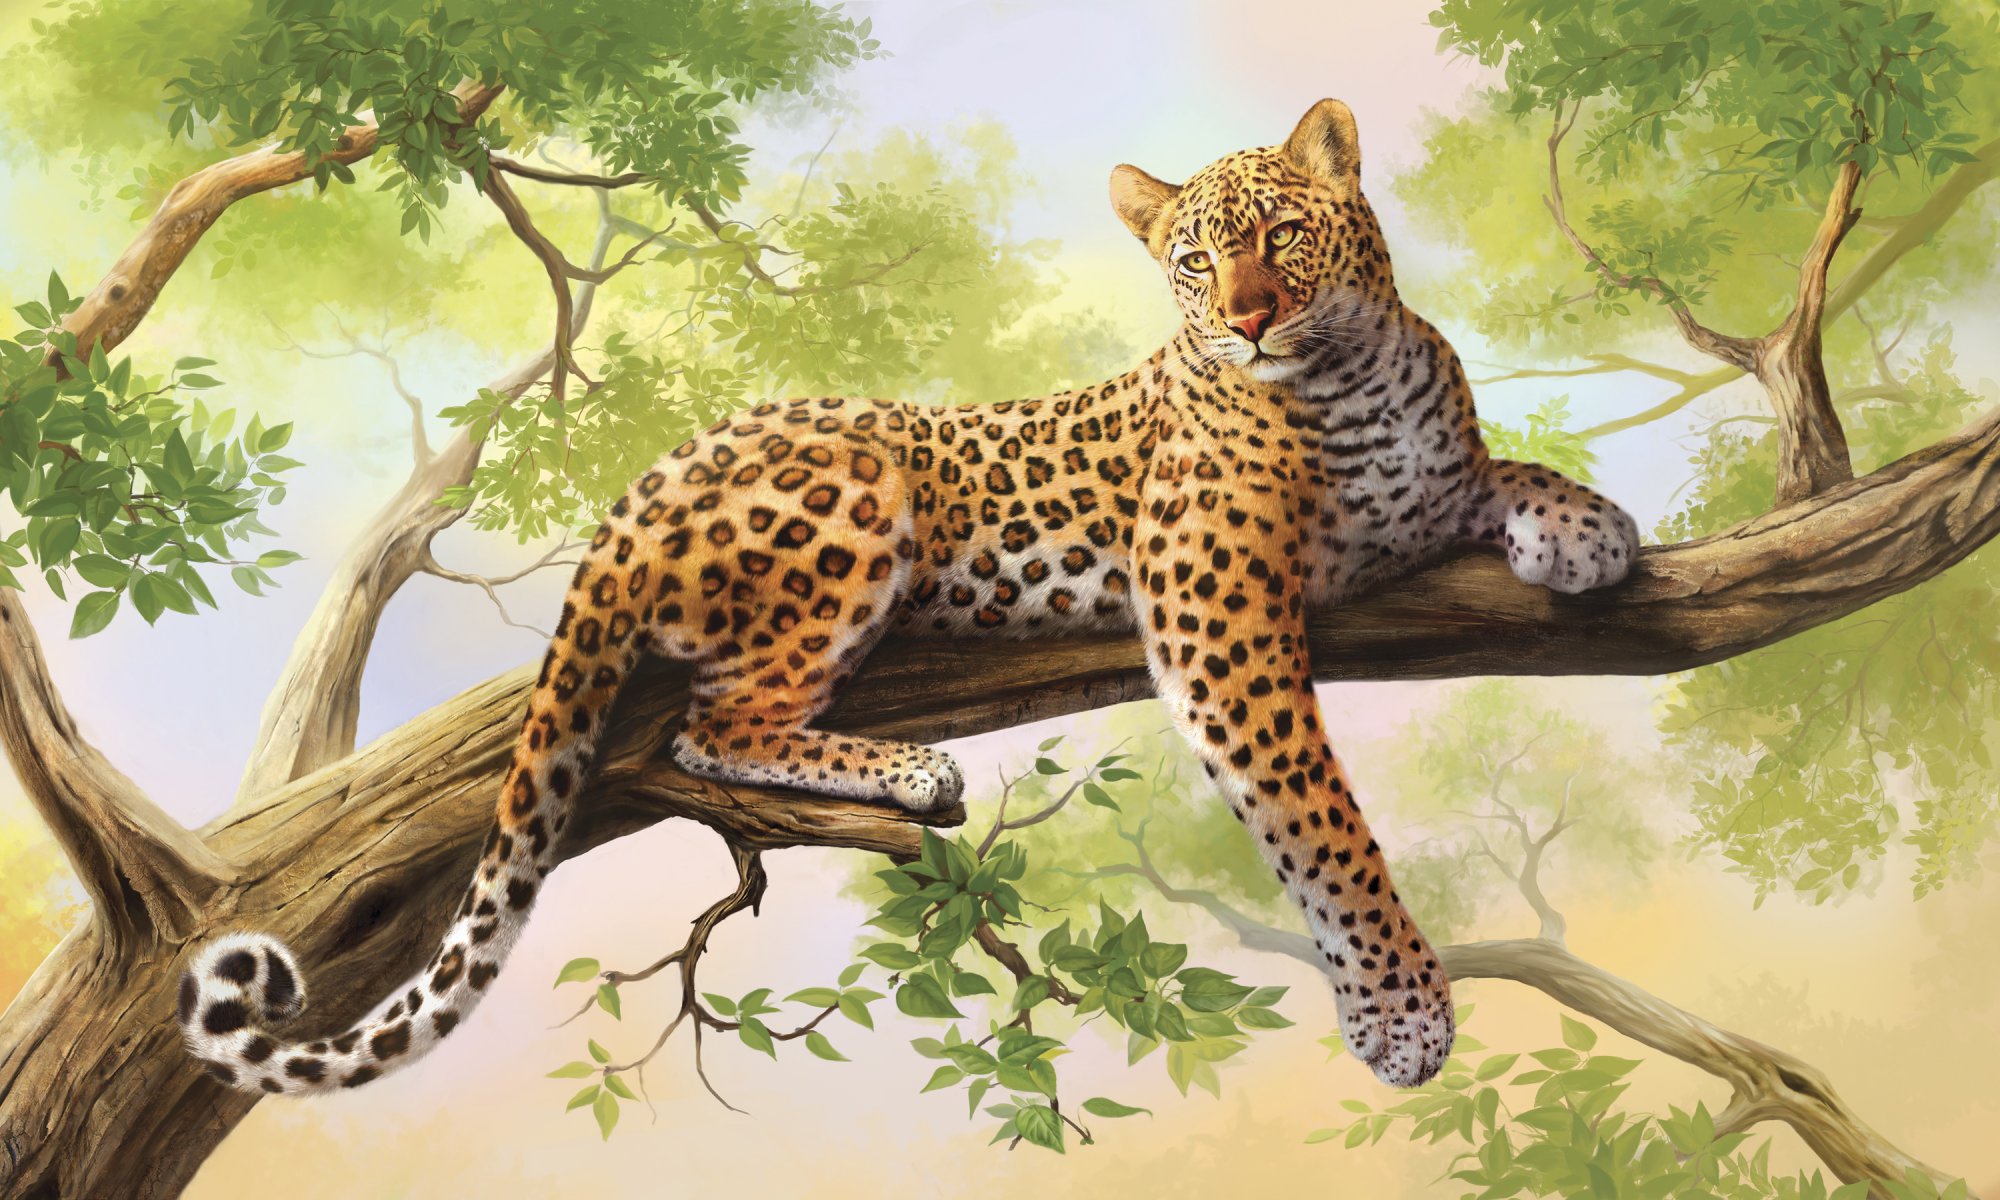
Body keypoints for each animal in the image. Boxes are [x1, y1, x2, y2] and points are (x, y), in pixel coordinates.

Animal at [180, 99, 1639, 1098]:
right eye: (1190, 260)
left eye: (1281, 232)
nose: (1248, 319)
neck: (1351, 374)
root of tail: (644, 483)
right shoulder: (1216, 614)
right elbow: (1318, 817)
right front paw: (1399, 1008)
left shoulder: (1414, 498)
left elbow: (1494, 470)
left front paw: (1586, 526)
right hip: (857, 493)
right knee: (714, 723)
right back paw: (912, 774)